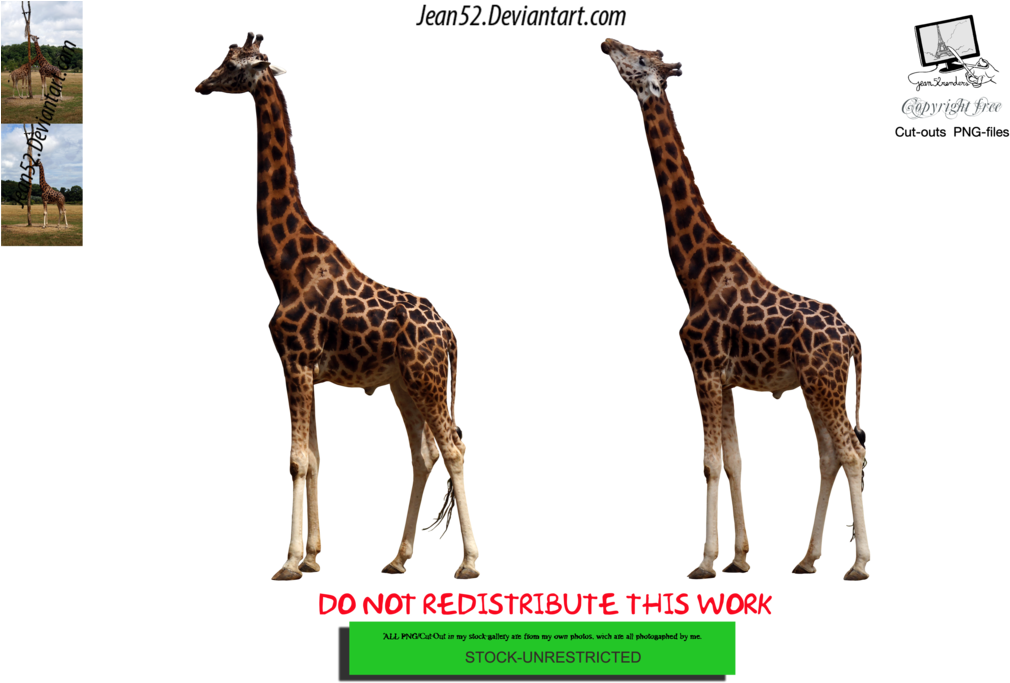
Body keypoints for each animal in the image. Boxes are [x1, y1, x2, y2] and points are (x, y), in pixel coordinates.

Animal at [195, 31, 480, 581]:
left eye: (233, 64)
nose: (201, 85)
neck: (284, 263)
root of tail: (450, 336)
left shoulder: (296, 361)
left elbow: (296, 459)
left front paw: (288, 562)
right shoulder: (305, 367)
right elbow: (315, 456)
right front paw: (311, 556)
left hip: (427, 378)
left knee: (452, 449)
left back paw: (469, 563)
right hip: (403, 383)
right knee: (424, 453)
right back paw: (397, 558)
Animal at [601, 38, 869, 581]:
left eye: (639, 60)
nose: (607, 43)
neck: (693, 270)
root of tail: (852, 338)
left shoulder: (701, 368)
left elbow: (708, 463)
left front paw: (705, 561)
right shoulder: (722, 378)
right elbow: (734, 461)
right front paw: (740, 558)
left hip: (825, 383)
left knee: (853, 452)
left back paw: (859, 564)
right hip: (816, 385)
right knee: (830, 455)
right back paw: (807, 559)